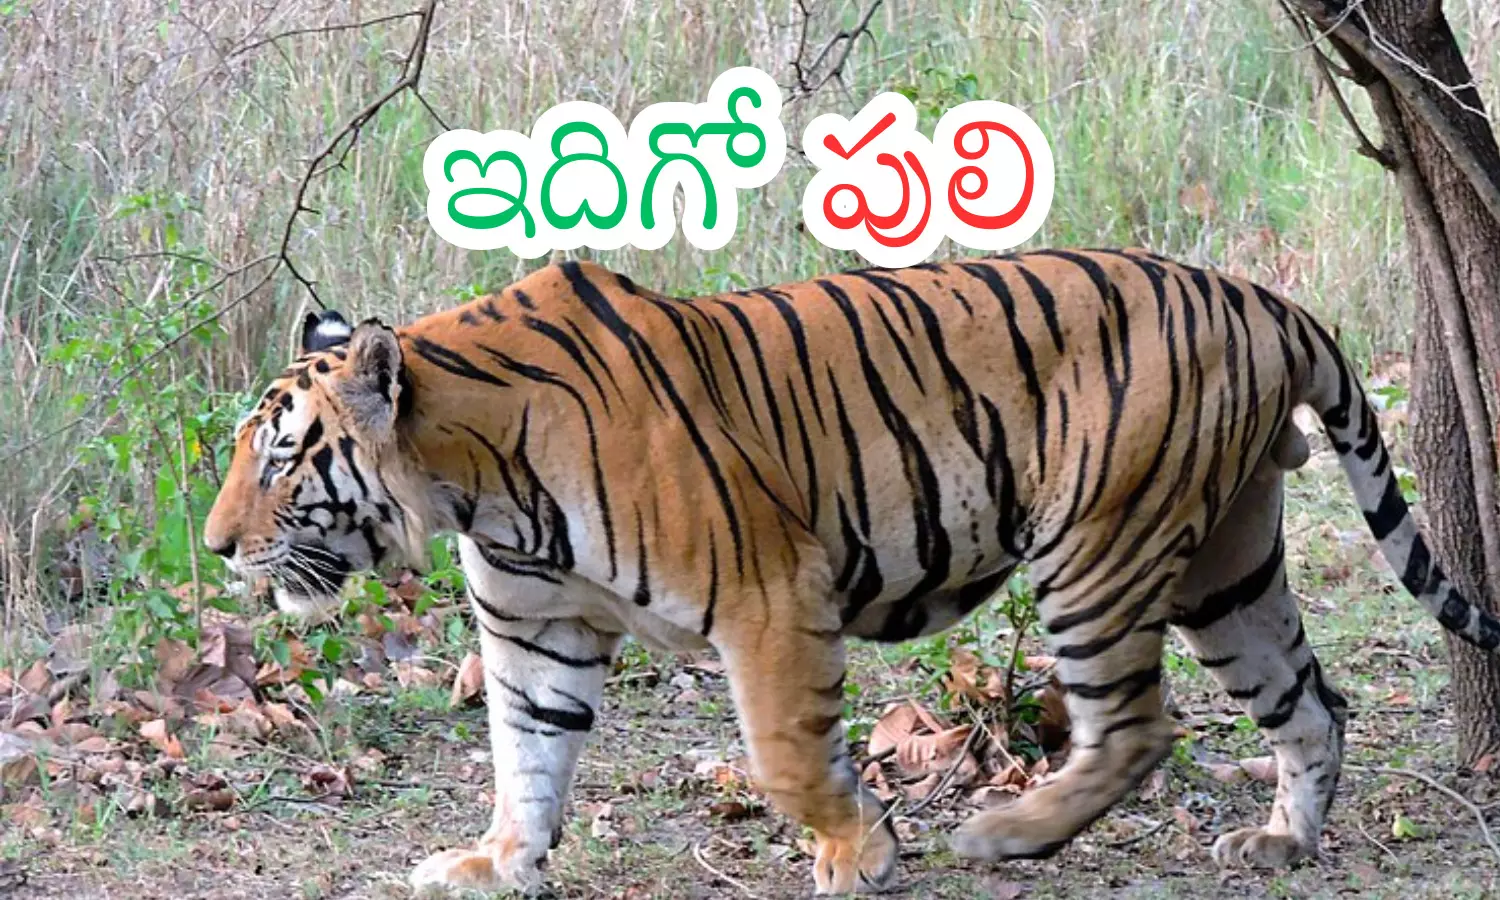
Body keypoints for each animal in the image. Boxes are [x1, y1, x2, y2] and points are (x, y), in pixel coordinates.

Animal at [202, 248, 1500, 895]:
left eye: (280, 458)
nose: (214, 548)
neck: (479, 482)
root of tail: (1264, 297)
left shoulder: (770, 594)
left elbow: (786, 756)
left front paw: (861, 853)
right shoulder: (534, 633)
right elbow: (526, 759)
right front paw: (497, 864)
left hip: (1099, 544)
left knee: (1139, 727)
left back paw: (1007, 835)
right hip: (1225, 565)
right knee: (1311, 702)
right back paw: (1283, 845)